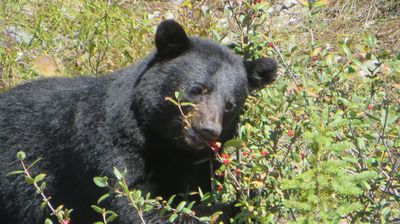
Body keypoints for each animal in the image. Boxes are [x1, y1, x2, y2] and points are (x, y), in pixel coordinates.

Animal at [0, 20, 276, 223]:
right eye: (198, 89)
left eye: (230, 104)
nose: (207, 130)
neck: (162, 142)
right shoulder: (109, 147)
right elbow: (134, 203)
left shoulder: (198, 164)